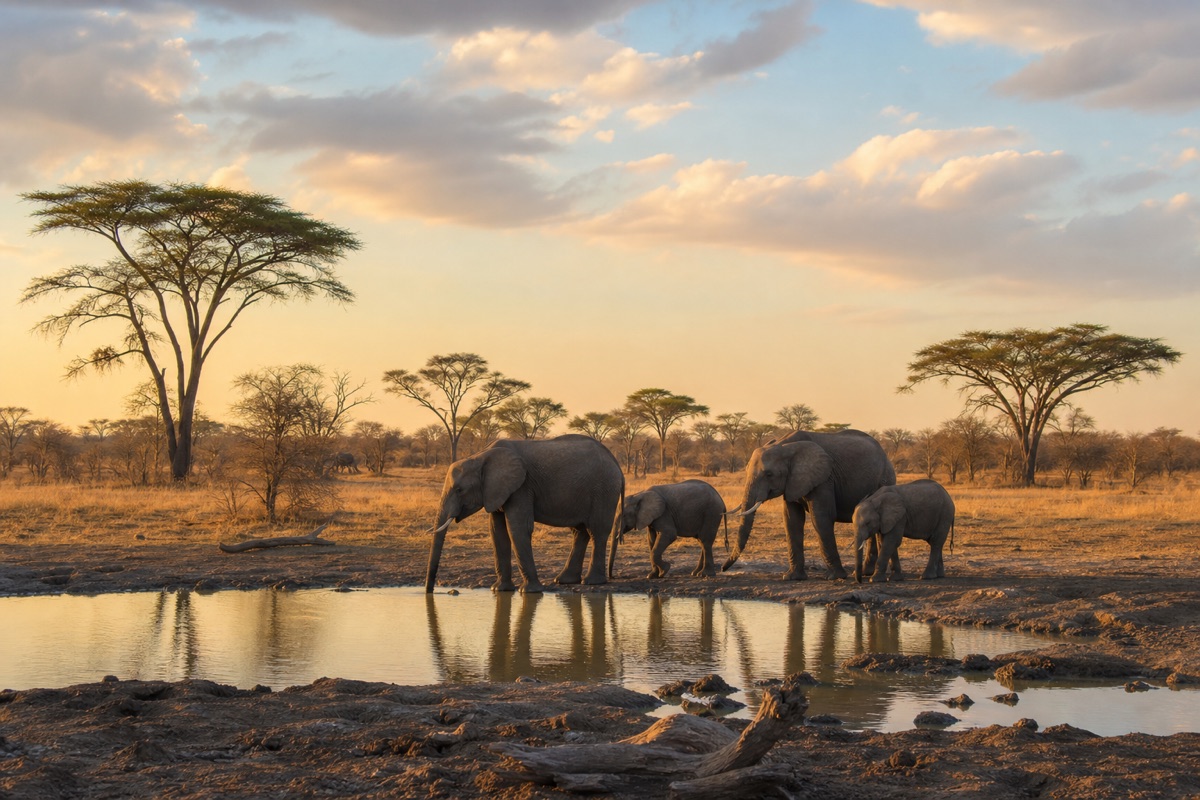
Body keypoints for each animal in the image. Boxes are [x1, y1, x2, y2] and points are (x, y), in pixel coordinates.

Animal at [426, 434, 624, 594]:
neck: (480, 456)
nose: (430, 591)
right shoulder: (496, 490)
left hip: (604, 490)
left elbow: (517, 528)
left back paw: (591, 582)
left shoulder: (522, 487)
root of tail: (616, 463)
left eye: (459, 490)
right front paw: (499, 590)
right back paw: (564, 580)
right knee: (579, 532)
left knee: (596, 531)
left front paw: (528, 592)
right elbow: (497, 532)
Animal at [722, 429, 896, 580]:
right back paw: (866, 573)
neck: (784, 445)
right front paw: (792, 578)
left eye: (769, 474)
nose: (723, 569)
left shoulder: (824, 479)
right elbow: (792, 520)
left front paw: (835, 577)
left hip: (885, 478)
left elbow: (821, 518)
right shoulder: (792, 481)